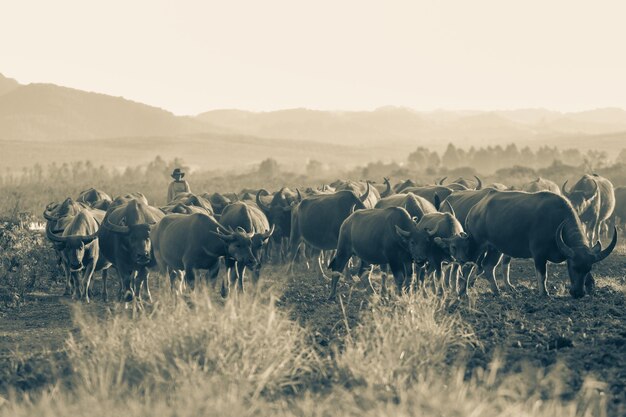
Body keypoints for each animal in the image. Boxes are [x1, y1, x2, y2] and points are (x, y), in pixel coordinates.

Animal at [464, 190, 616, 298]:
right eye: (573, 267)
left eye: (588, 268)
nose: (578, 293)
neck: (556, 222)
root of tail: (475, 209)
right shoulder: (539, 254)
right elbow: (542, 275)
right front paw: (544, 293)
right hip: (478, 244)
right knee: (471, 265)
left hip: (496, 248)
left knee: (488, 266)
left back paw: (496, 291)